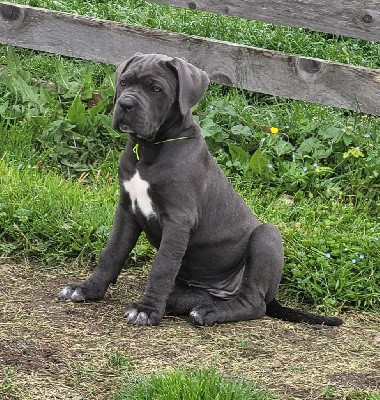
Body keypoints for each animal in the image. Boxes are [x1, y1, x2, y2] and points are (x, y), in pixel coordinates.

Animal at [58, 53, 342, 326]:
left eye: (155, 89)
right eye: (125, 82)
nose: (125, 104)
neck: (149, 150)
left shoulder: (178, 219)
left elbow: (162, 266)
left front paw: (146, 310)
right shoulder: (127, 210)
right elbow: (111, 252)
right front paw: (87, 288)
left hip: (267, 236)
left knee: (253, 302)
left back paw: (210, 313)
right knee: (193, 296)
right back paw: (194, 305)